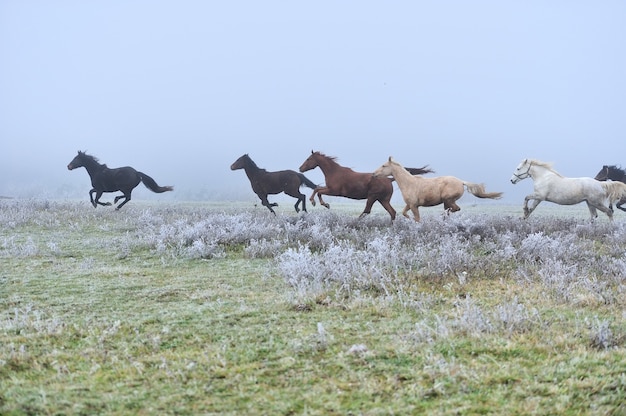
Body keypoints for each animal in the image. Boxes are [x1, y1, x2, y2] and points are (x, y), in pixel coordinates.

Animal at [298, 150, 434, 221]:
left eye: (309, 159)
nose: (300, 168)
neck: (334, 172)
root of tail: (390, 179)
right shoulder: (331, 190)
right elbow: (318, 189)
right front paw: (321, 203)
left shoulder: (334, 191)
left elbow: (318, 190)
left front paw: (321, 203)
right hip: (383, 200)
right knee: (392, 212)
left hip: (373, 197)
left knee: (367, 210)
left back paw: (356, 222)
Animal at [370, 156, 502, 221]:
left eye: (384, 165)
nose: (374, 174)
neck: (409, 183)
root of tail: (461, 182)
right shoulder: (410, 205)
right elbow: (404, 213)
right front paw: (409, 219)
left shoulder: (414, 205)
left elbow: (417, 219)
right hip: (447, 201)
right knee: (451, 210)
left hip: (448, 199)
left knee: (455, 209)